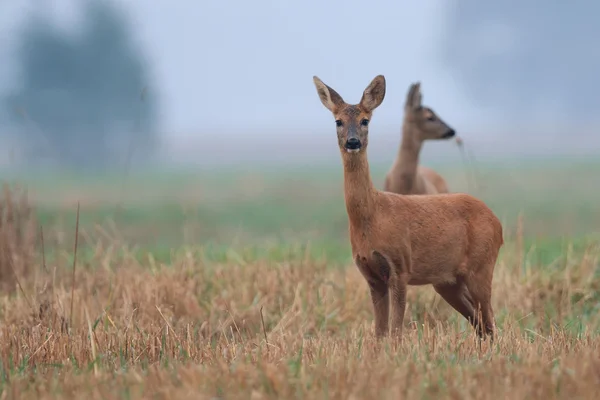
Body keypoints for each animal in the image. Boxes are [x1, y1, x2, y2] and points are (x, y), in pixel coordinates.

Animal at [312, 72, 504, 340]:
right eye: (338, 121)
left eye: (365, 120)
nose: (352, 142)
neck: (373, 217)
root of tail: (497, 222)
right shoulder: (371, 275)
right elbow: (380, 333)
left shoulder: (400, 266)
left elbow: (395, 332)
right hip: (448, 282)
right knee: (480, 324)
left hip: (482, 266)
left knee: (491, 321)